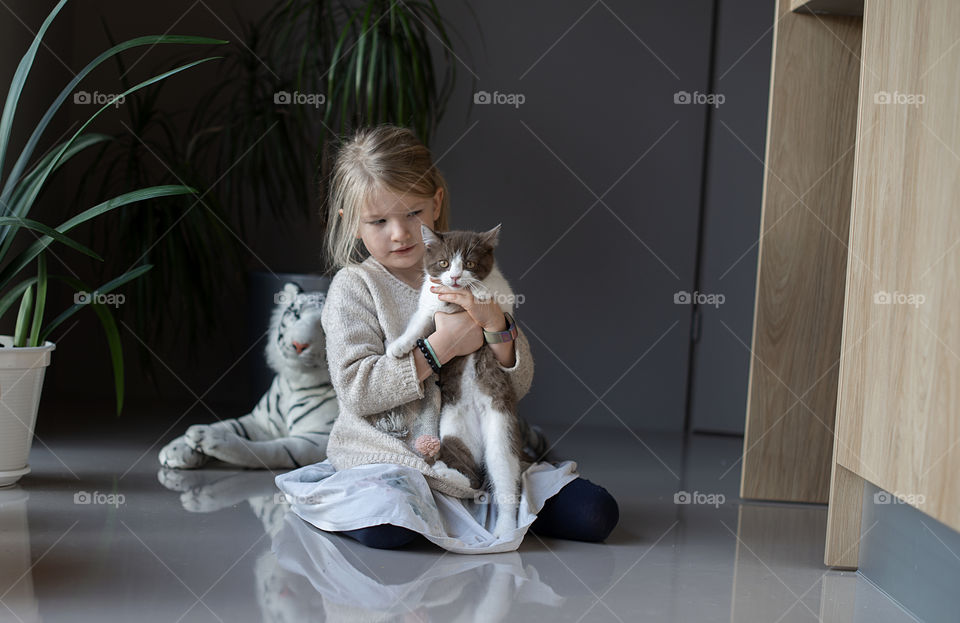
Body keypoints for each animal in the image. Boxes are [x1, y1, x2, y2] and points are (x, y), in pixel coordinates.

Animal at [388, 225, 524, 540]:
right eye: (444, 263)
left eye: (470, 263)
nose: (455, 277)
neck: (454, 300)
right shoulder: (429, 303)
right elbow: (419, 323)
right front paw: (399, 347)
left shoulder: (505, 298)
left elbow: (494, 300)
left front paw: (478, 292)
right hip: (454, 427)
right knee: (470, 473)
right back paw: (445, 471)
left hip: (500, 426)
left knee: (503, 473)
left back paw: (506, 529)